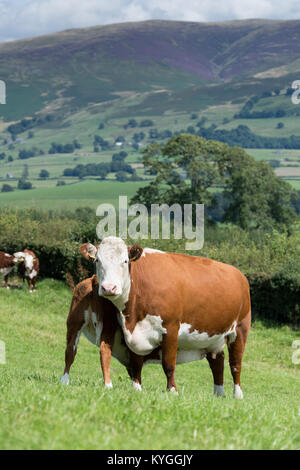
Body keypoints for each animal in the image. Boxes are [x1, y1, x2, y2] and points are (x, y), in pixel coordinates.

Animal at [79, 237, 251, 398]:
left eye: (125, 261)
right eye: (97, 260)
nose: (109, 288)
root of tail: (239, 274)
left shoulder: (171, 328)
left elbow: (168, 364)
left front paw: (172, 390)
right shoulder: (133, 332)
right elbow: (136, 362)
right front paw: (136, 387)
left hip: (240, 329)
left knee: (235, 364)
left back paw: (238, 394)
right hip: (214, 336)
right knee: (217, 362)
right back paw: (219, 393)